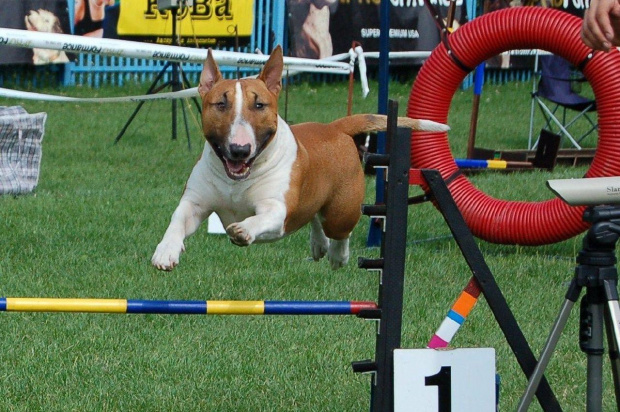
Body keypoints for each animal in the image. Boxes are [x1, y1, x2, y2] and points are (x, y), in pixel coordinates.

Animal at [151, 46, 450, 270]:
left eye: (259, 104)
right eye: (220, 103)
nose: (239, 149)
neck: (237, 179)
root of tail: (335, 127)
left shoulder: (276, 209)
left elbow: (259, 219)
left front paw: (243, 230)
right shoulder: (195, 202)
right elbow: (177, 219)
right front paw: (165, 251)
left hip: (342, 209)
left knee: (341, 229)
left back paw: (338, 256)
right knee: (315, 216)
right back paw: (319, 245)